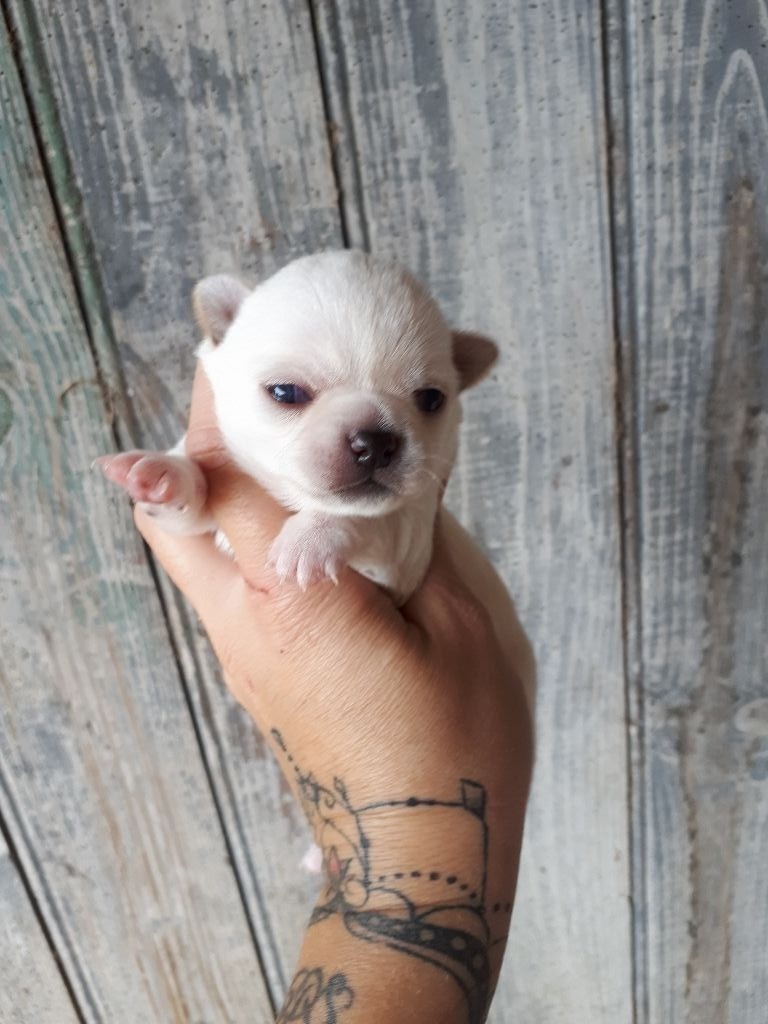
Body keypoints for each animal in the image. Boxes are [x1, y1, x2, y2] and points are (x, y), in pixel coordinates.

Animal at [97, 250, 497, 605]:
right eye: (286, 392)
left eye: (431, 399)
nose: (375, 442)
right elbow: (192, 503)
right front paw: (162, 475)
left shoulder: (409, 549)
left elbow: (373, 518)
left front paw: (311, 539)